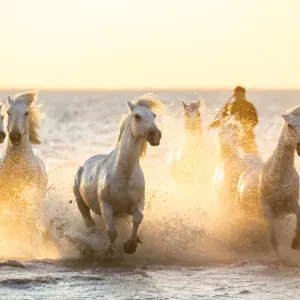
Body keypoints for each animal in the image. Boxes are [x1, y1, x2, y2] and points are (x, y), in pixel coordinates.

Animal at [74, 94, 164, 253]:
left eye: (154, 115)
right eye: (137, 116)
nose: (155, 135)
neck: (124, 175)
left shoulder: (136, 204)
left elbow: (138, 218)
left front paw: (130, 245)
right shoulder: (106, 207)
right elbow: (111, 232)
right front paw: (110, 250)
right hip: (80, 200)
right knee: (89, 222)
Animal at [237, 105, 300, 253]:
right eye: (290, 125)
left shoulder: (291, 205)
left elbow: (299, 218)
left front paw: (295, 243)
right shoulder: (268, 210)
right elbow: (273, 240)